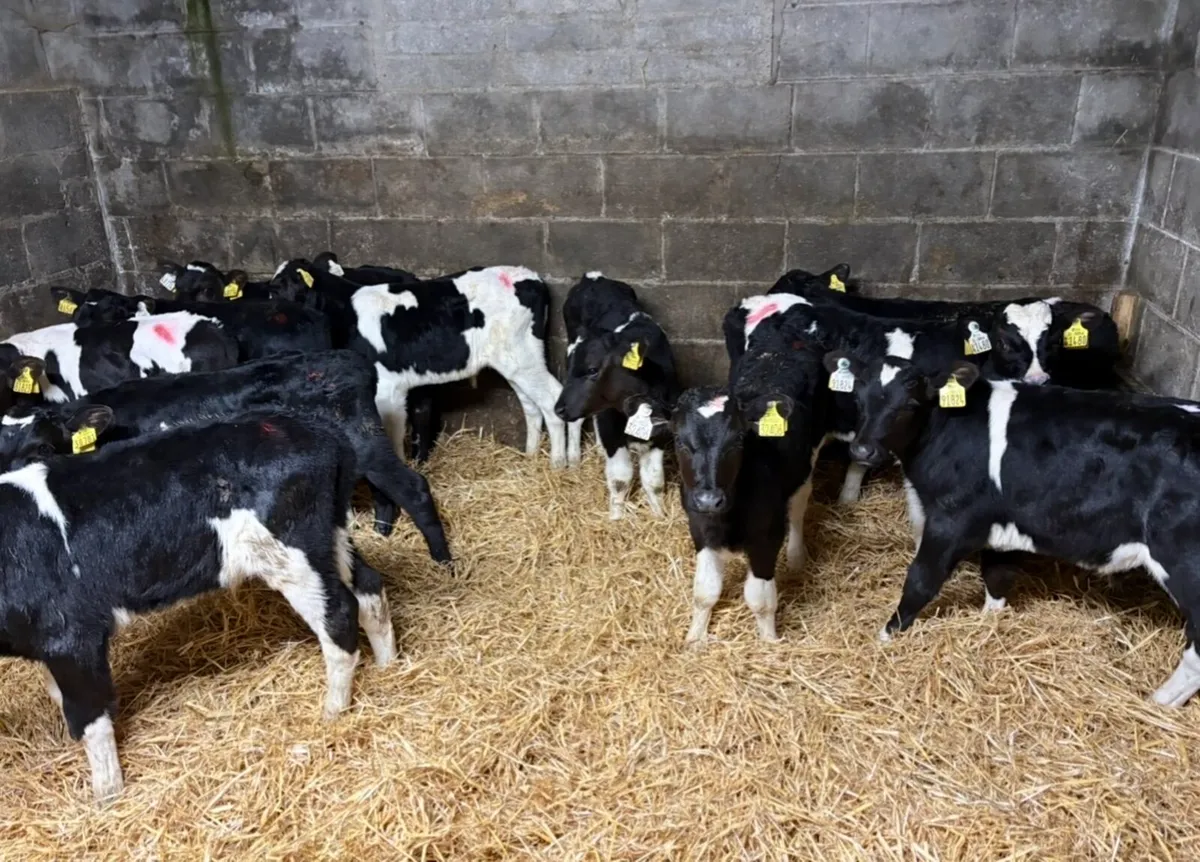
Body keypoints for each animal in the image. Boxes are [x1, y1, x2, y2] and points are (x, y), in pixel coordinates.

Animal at [0, 351, 451, 561]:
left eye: (42, 447)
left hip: (364, 441)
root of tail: (346, 357)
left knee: (412, 487)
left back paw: (442, 562)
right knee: (385, 490)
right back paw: (383, 533)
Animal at [0, 412, 395, 801]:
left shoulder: (72, 636)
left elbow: (90, 720)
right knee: (368, 586)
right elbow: (60, 698)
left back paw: (333, 712)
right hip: (331, 536)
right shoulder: (47, 645)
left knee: (338, 614)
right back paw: (389, 665)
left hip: (293, 551)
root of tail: (316, 430)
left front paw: (107, 796)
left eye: (43, 447)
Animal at [271, 259, 574, 468]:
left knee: (551, 399)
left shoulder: (387, 387)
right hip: (517, 362)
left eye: (281, 287)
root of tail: (530, 276)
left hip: (523, 359)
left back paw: (558, 465)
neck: (346, 310)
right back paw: (533, 456)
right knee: (531, 406)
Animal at [554, 272, 679, 519]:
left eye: (593, 369)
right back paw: (574, 460)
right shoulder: (609, 424)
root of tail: (594, 277)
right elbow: (620, 478)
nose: (558, 409)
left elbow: (654, 480)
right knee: (576, 422)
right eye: (572, 369)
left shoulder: (661, 426)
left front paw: (659, 515)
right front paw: (616, 517)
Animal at [830, 352, 1200, 707]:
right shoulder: (1000, 519)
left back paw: (1159, 702)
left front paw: (885, 636)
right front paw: (988, 622)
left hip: (1184, 564)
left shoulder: (951, 519)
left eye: (910, 404)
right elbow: (997, 574)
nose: (862, 449)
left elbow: (921, 580)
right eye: (858, 399)